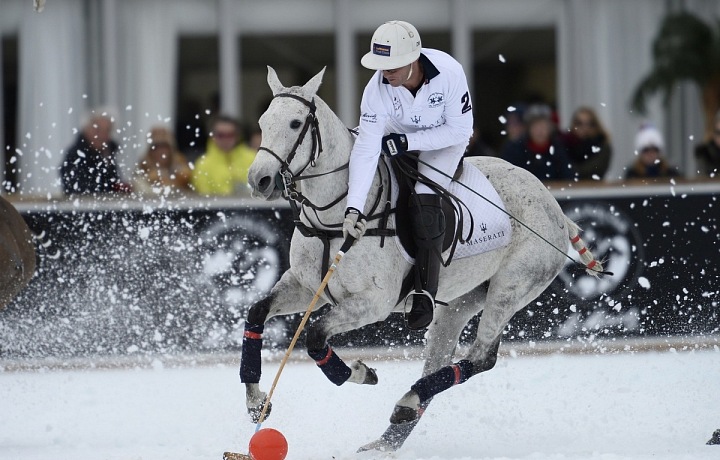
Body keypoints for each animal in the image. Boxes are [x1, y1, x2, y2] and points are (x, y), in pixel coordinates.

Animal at [239, 66, 604, 452]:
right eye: (262, 121)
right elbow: (257, 312)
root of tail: (554, 206)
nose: (259, 180)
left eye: (295, 123)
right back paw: (388, 438)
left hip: (512, 287)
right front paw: (256, 402)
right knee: (442, 360)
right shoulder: (305, 286)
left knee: (482, 355)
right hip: (460, 302)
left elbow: (315, 336)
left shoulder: (373, 302)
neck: (335, 215)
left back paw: (406, 403)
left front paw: (360, 373)